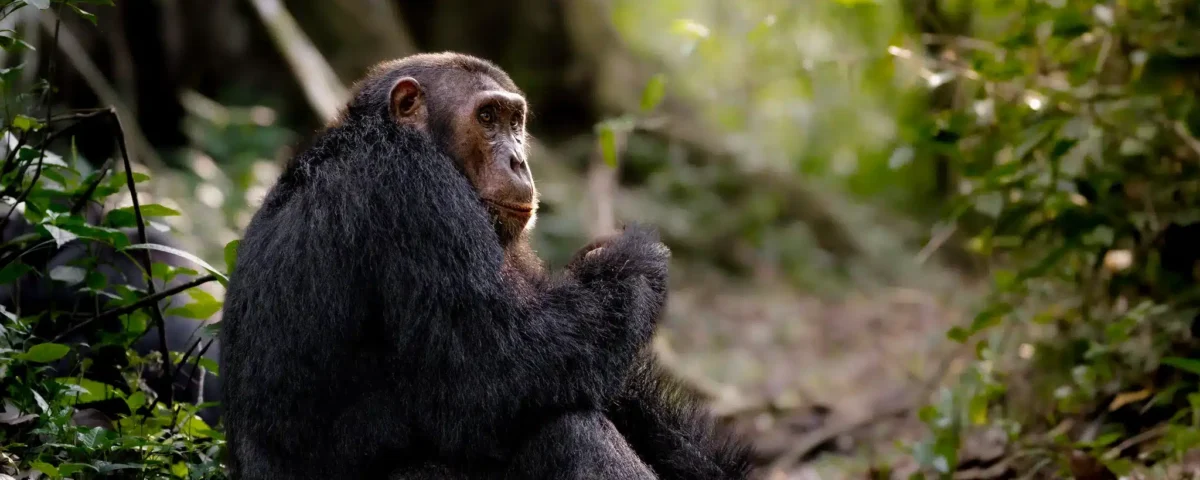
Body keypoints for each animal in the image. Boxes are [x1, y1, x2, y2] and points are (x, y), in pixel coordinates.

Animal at [220, 52, 751, 480]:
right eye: (488, 117)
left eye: (516, 121)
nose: (519, 160)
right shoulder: (415, 193)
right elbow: (492, 375)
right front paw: (634, 258)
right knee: (566, 429)